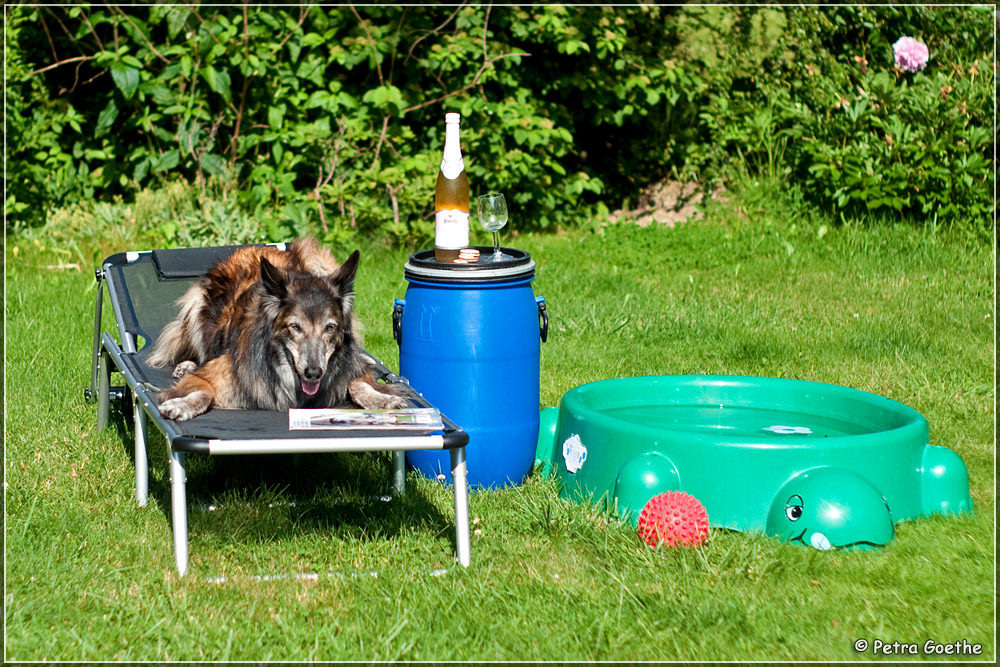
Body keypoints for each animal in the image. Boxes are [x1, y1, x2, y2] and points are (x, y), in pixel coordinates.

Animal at [146, 237, 410, 420]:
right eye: (295, 327)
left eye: (330, 327)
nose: (313, 373)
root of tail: (257, 247)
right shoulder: (216, 375)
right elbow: (203, 390)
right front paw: (181, 404)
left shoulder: (348, 370)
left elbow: (358, 383)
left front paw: (384, 399)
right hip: (196, 306)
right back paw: (186, 364)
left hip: (319, 258)